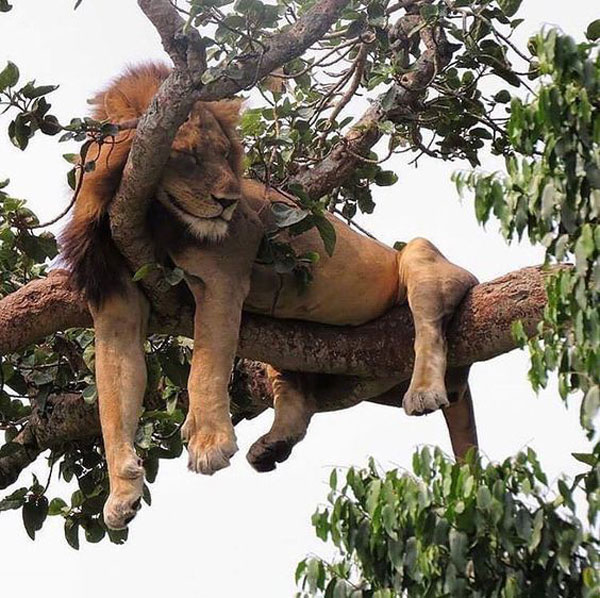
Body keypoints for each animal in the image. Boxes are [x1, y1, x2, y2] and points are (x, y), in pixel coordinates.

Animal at [61, 63, 480, 532]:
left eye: (224, 154)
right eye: (188, 157)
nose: (227, 201)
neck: (150, 217)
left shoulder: (223, 276)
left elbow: (204, 368)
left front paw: (208, 442)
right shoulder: (115, 296)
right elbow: (114, 397)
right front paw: (121, 491)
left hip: (421, 257)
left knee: (430, 325)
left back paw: (424, 390)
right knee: (299, 394)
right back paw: (272, 446)